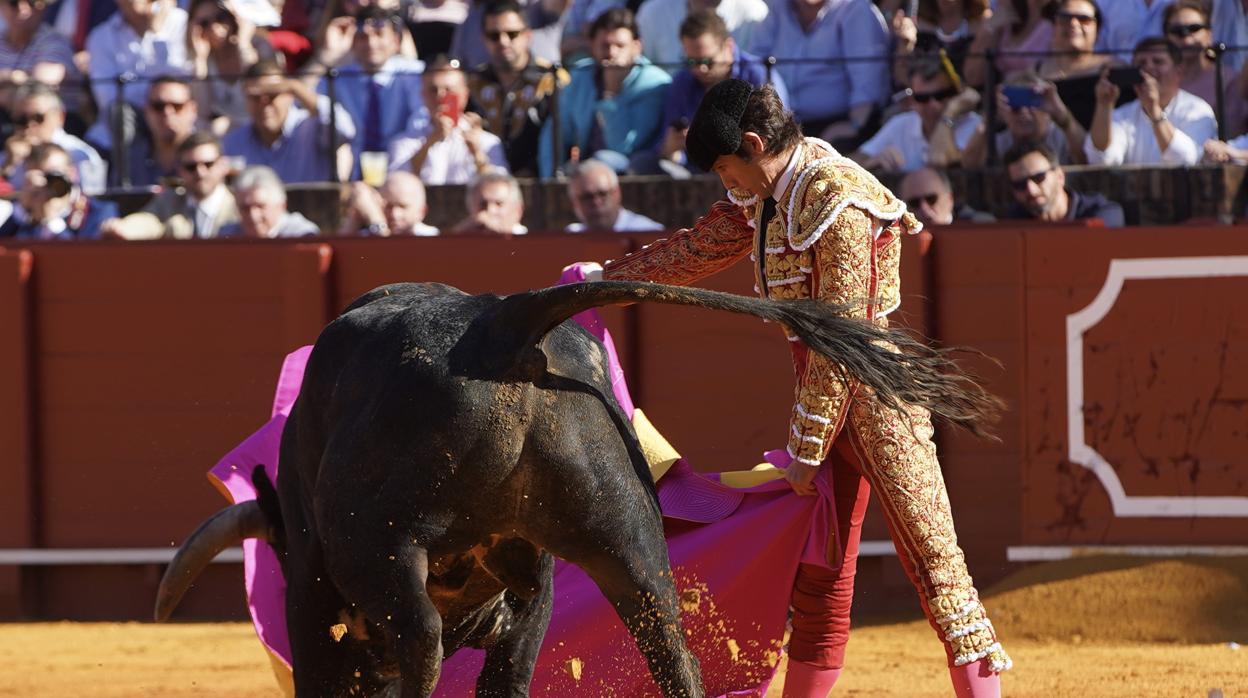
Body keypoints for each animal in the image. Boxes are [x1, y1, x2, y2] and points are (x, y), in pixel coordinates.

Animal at [156, 280, 998, 694]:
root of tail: (498, 327)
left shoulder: (311, 587)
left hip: (379, 545)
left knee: (422, 642)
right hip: (623, 539)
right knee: (669, 651)